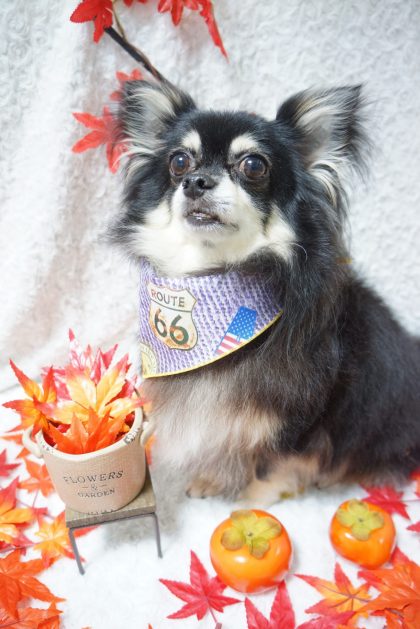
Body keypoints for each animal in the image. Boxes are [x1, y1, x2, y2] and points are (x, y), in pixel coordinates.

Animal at [110, 80, 420, 505]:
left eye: (253, 166)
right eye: (179, 162)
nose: (196, 182)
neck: (214, 275)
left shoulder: (298, 416)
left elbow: (272, 463)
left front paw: (251, 501)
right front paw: (214, 479)